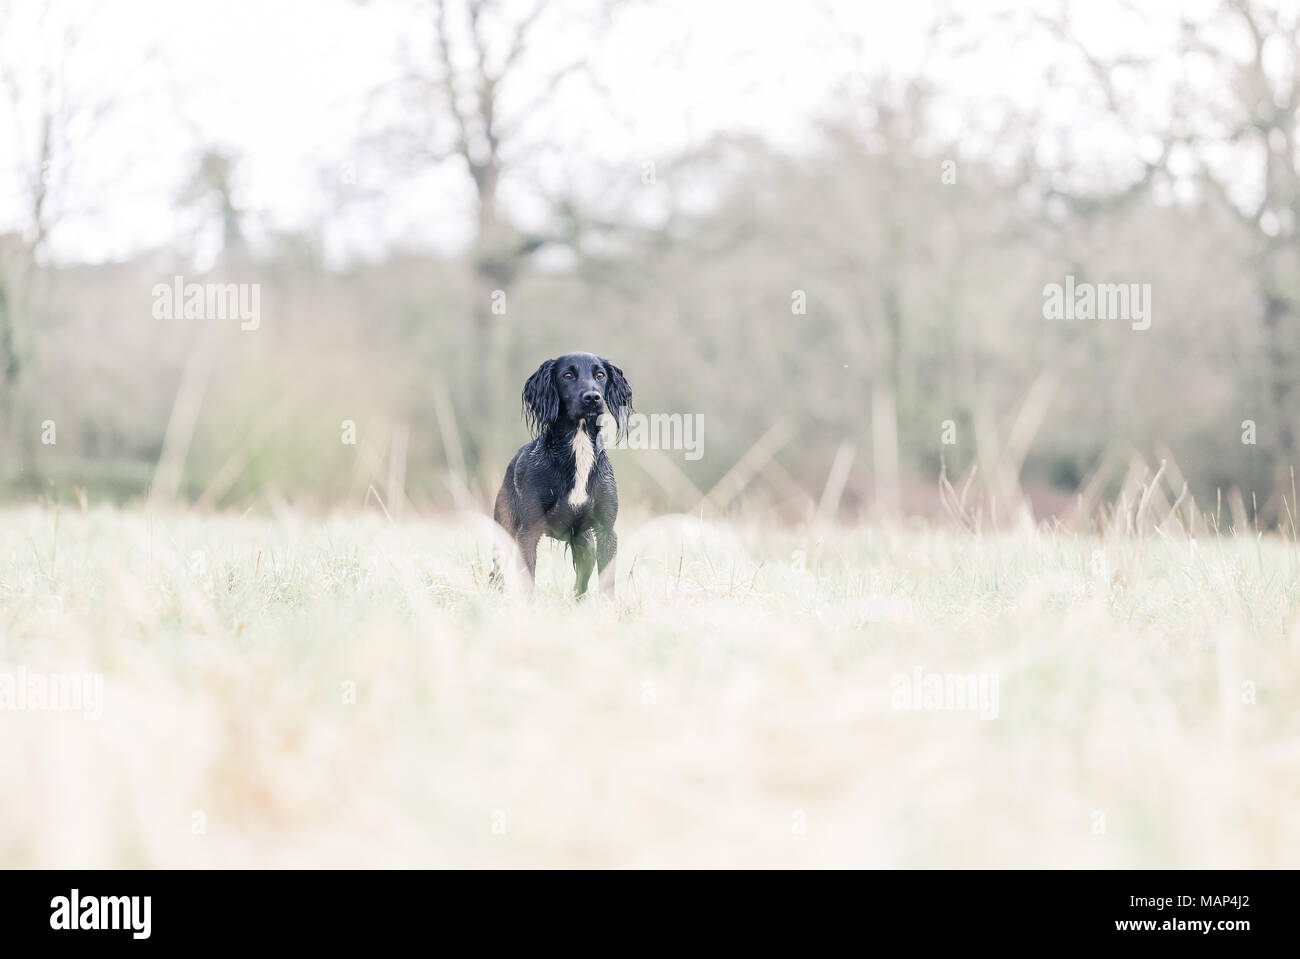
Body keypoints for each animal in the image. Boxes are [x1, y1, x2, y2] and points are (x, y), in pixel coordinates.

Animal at [488, 348, 631, 595]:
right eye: (567, 375)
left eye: (600, 375)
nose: (592, 397)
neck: (578, 447)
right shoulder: (528, 531)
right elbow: (528, 583)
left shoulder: (606, 531)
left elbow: (606, 584)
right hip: (504, 531)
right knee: (496, 573)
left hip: (585, 545)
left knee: (581, 584)